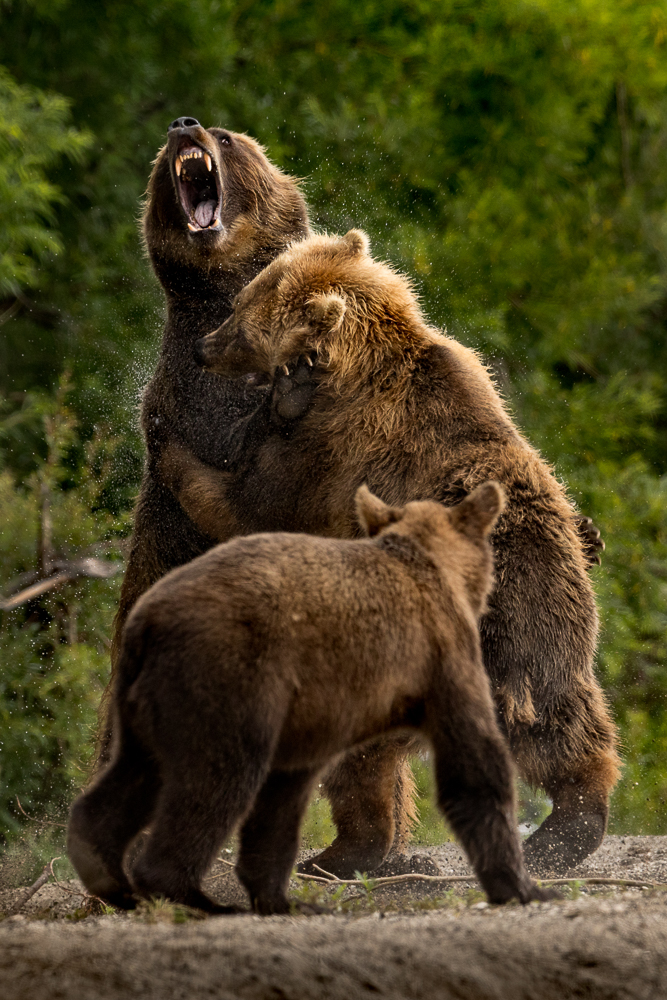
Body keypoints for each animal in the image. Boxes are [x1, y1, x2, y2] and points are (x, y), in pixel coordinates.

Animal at [68, 481, 557, 914]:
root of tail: (146, 623)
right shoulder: (441, 658)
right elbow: (473, 763)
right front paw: (523, 886)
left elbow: (286, 796)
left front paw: (281, 893)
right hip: (228, 678)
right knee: (216, 782)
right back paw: (191, 895)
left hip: (145, 702)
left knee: (134, 772)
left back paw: (109, 875)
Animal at [151, 229, 620, 877]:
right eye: (243, 297)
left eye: (243, 315)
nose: (203, 347)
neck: (350, 368)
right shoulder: (464, 379)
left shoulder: (327, 454)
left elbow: (248, 503)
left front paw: (167, 439)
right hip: (543, 641)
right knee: (564, 729)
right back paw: (565, 829)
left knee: (364, 758)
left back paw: (340, 853)